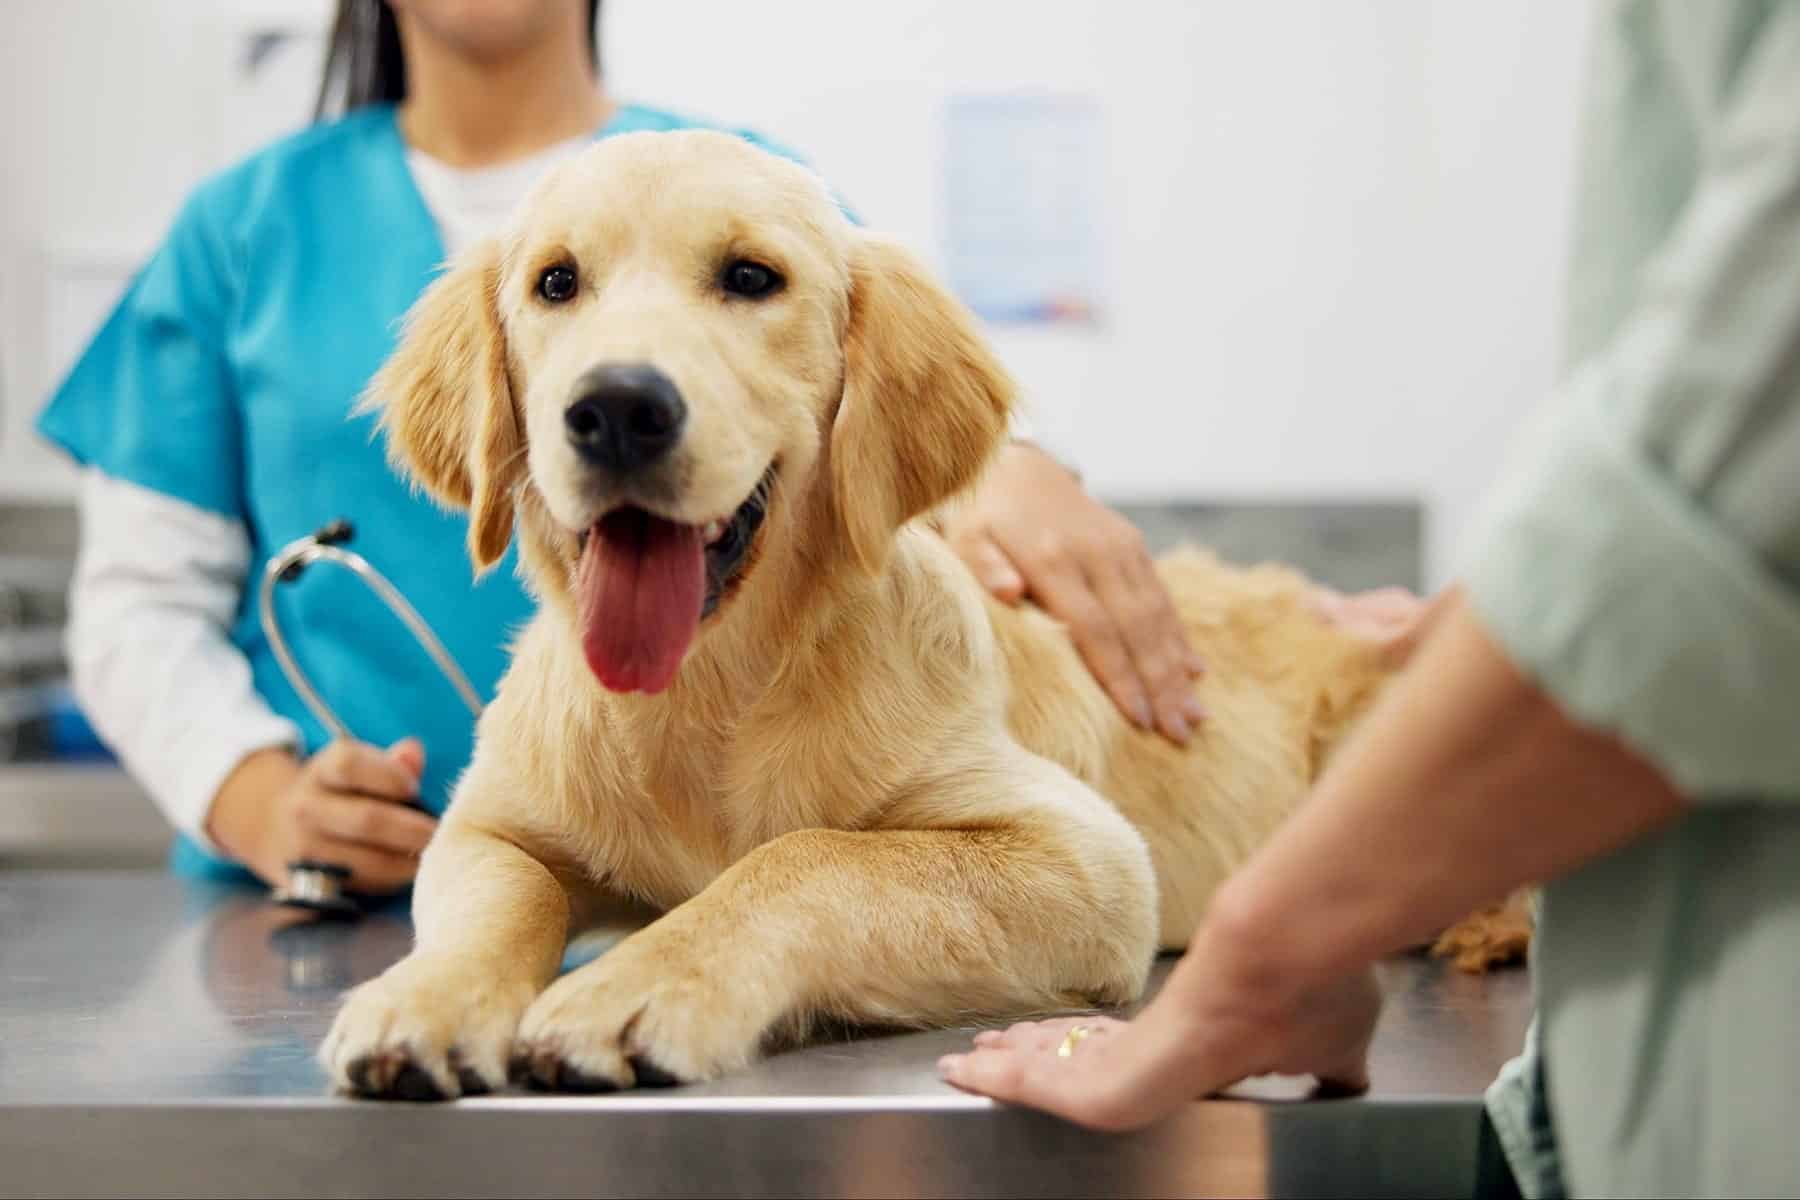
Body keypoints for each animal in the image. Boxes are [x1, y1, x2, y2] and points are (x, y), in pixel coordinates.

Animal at [320, 129, 1504, 1101]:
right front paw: (425, 998)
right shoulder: (489, 825)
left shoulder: (1088, 858)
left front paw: (638, 983)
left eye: (750, 278)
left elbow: (812, 858)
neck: (709, 695)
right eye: (557, 282)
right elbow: (499, 899)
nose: (615, 408)